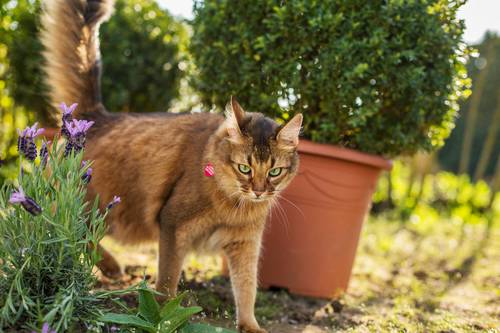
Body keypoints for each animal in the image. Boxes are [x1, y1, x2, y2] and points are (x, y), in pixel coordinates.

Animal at [40, 1, 300, 330]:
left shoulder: (244, 243)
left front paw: (250, 325)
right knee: (59, 226)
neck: (232, 204)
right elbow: (167, 280)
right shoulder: (173, 225)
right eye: (245, 168)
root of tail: (97, 117)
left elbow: (246, 288)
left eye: (274, 172)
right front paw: (162, 317)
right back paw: (110, 266)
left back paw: (109, 267)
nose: (258, 191)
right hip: (102, 209)